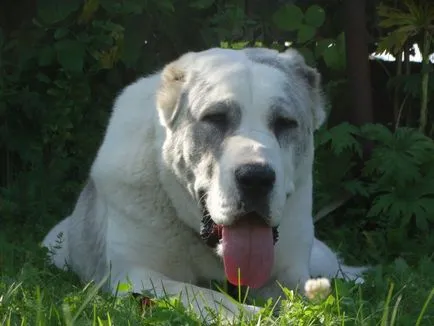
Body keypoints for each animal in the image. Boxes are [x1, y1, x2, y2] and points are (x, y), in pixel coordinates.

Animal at [42, 47, 366, 322]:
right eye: (215, 118)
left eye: (285, 123)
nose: (256, 177)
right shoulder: (134, 274)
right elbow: (199, 294)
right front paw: (246, 314)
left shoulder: (290, 273)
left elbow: (308, 294)